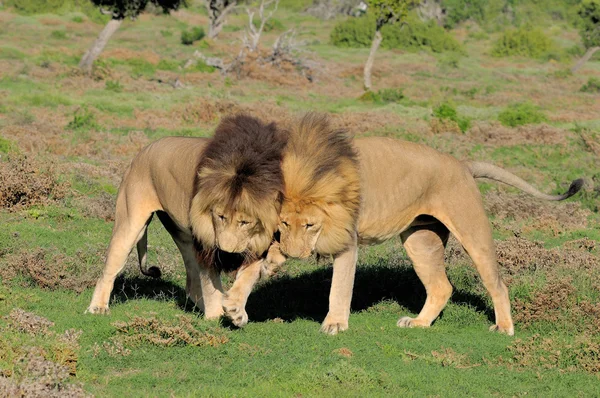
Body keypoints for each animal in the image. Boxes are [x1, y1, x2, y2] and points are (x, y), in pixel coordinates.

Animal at [86, 113, 288, 318]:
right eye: (220, 217)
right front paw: (216, 316)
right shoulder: (206, 241)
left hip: (182, 234)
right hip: (131, 223)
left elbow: (248, 274)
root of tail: (141, 153)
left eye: (245, 222)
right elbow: (211, 283)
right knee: (109, 268)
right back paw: (97, 308)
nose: (226, 253)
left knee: (191, 282)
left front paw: (235, 310)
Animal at [221, 112, 580, 336]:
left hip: (472, 231)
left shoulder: (347, 238)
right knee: (441, 286)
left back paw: (504, 328)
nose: (295, 255)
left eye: (311, 225)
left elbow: (340, 287)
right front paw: (235, 307)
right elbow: (249, 270)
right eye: (284, 222)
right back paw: (419, 323)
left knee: (497, 283)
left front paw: (335, 324)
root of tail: (463, 165)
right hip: (421, 240)